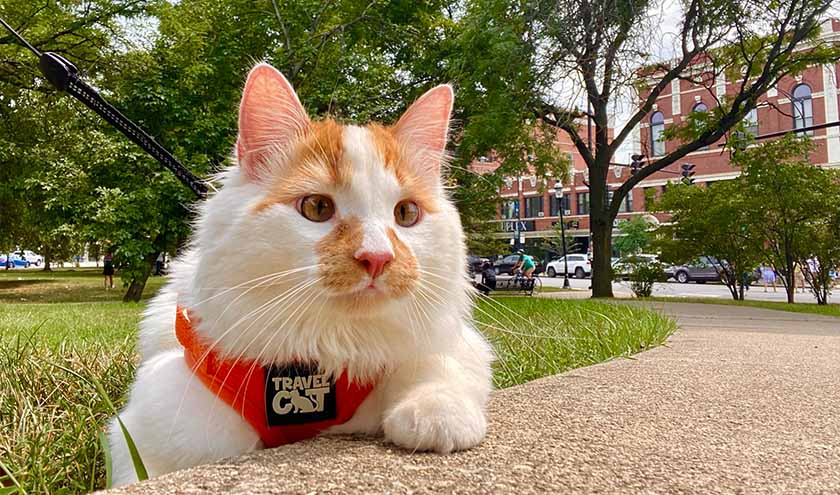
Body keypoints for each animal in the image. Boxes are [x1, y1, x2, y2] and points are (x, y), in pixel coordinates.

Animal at [108, 63, 496, 488]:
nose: (377, 258)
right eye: (316, 208)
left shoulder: (451, 344)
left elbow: (435, 365)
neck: (331, 348)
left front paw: (435, 414)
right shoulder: (152, 419)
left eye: (407, 214)